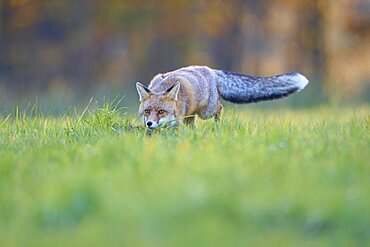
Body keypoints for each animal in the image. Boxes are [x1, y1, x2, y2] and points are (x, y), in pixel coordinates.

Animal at [137, 64, 308, 129]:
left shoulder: (177, 121)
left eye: (161, 112)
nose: (150, 123)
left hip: (206, 112)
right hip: (192, 116)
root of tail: (211, 70)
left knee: (220, 108)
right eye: (147, 111)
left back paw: (217, 127)